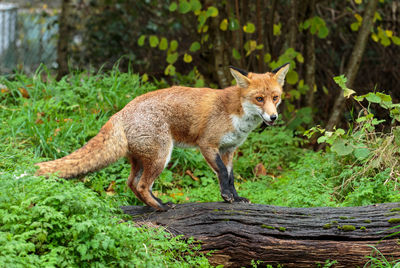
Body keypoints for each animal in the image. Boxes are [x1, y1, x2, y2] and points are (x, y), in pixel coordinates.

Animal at [36, 63, 290, 210]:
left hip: (142, 158)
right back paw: (161, 207)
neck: (237, 113)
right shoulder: (207, 145)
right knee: (141, 185)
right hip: (161, 155)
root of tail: (120, 112)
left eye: (275, 97)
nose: (273, 117)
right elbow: (221, 173)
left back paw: (155, 204)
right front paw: (227, 197)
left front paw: (235, 199)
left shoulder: (229, 149)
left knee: (131, 183)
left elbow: (230, 176)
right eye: (259, 99)